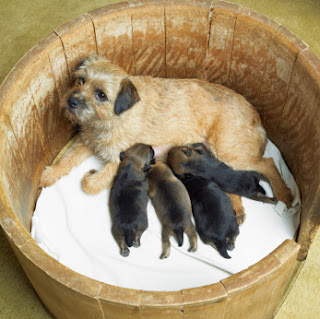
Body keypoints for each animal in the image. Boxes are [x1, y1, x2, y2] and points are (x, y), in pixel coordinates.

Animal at [38, 54, 292, 212]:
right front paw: (49, 175)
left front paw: (89, 177)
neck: (109, 119)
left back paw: (285, 195)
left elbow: (90, 185)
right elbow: (67, 159)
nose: (70, 101)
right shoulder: (86, 140)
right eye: (80, 81)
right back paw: (237, 210)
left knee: (268, 163)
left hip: (230, 152)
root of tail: (255, 114)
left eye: (101, 94)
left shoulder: (119, 160)